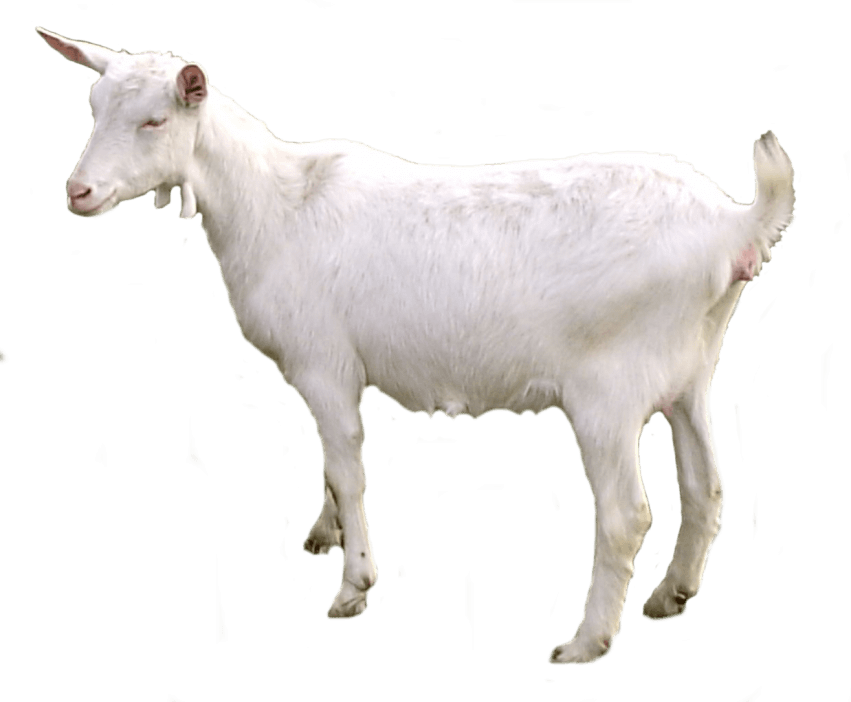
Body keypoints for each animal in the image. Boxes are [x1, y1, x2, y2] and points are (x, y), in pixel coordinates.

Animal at [36, 26, 795, 664]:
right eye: (95, 107)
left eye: (154, 121)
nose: (79, 191)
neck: (274, 205)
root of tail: (733, 223)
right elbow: (331, 465)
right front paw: (324, 534)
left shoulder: (325, 362)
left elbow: (348, 468)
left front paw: (354, 585)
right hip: (688, 371)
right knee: (705, 487)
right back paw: (671, 595)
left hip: (607, 389)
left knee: (625, 515)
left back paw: (585, 643)